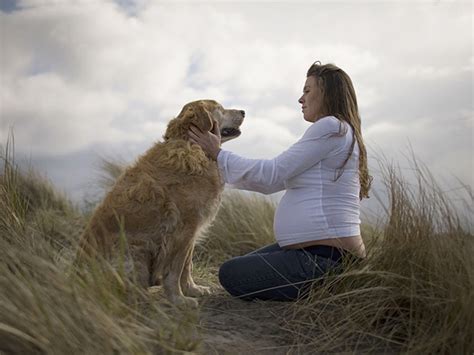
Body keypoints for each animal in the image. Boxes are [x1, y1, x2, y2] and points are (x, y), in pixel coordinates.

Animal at [77, 100, 244, 306]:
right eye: (220, 108)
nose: (243, 111)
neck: (193, 147)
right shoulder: (183, 230)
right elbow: (175, 270)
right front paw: (179, 299)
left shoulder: (192, 231)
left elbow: (187, 265)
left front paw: (192, 289)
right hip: (135, 250)